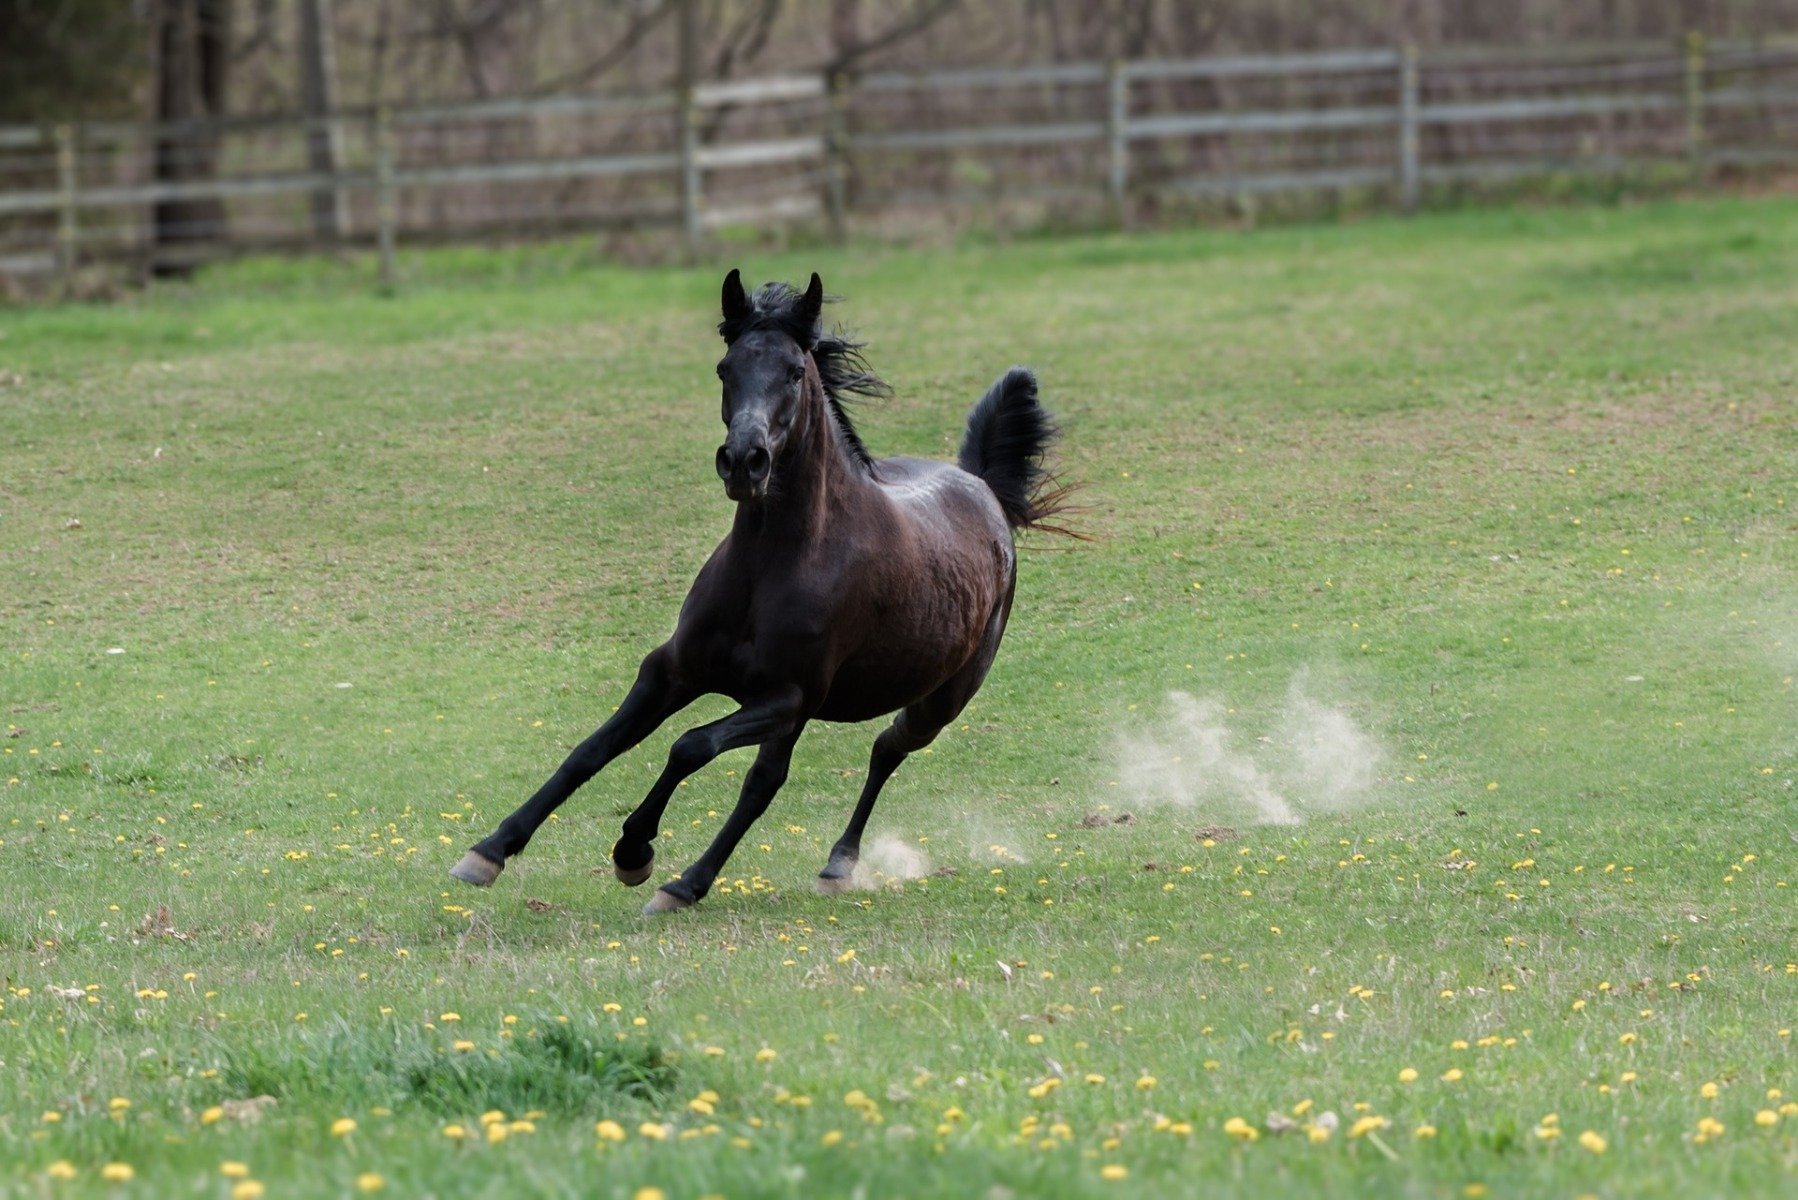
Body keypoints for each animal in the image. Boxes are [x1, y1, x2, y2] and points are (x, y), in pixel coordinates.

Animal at [453, 271, 1064, 910]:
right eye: (725, 367)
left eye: (795, 371)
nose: (744, 461)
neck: (770, 569)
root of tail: (982, 486)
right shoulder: (670, 671)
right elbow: (592, 750)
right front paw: (490, 850)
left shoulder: (785, 697)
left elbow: (692, 748)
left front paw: (636, 852)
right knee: (812, 767)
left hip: (934, 702)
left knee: (870, 753)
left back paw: (744, 875)